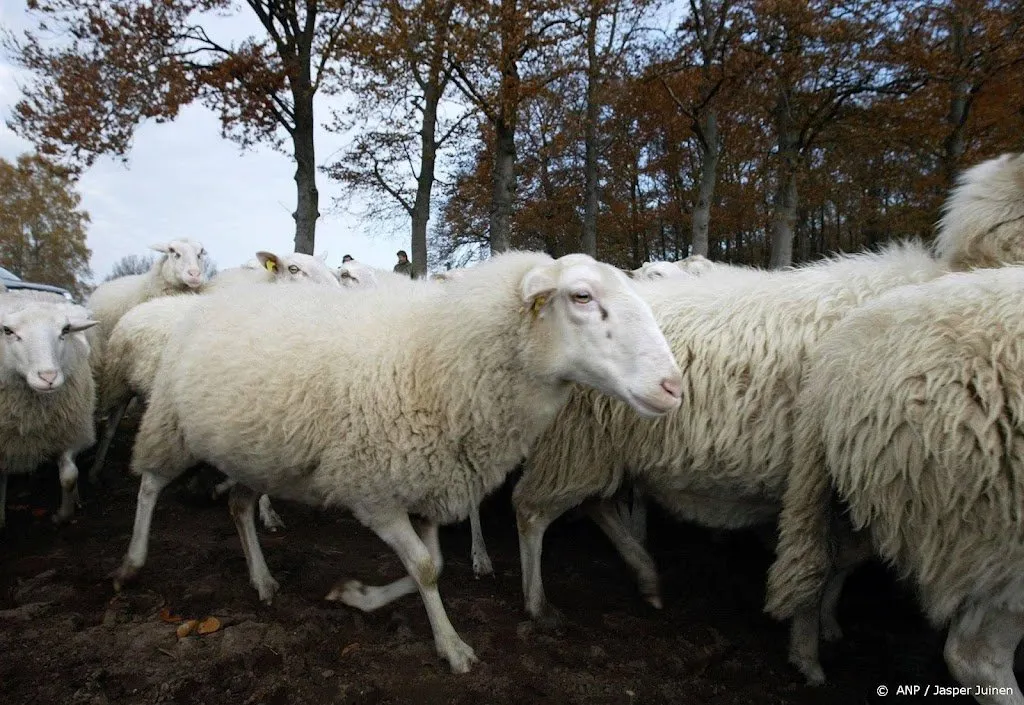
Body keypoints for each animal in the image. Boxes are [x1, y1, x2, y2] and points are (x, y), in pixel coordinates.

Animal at [0, 291, 97, 528]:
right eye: (7, 331)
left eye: (65, 330)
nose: (48, 377)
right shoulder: (6, 441)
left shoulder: (68, 431)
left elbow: (69, 476)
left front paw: (62, 515)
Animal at [112, 252, 684, 672]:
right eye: (582, 296)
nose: (673, 388)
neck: (439, 357)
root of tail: (219, 297)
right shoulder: (374, 494)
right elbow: (426, 568)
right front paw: (452, 648)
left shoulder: (427, 484)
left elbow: (434, 565)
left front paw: (354, 595)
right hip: (172, 423)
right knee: (148, 486)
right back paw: (131, 566)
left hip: (259, 452)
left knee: (237, 504)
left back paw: (263, 580)